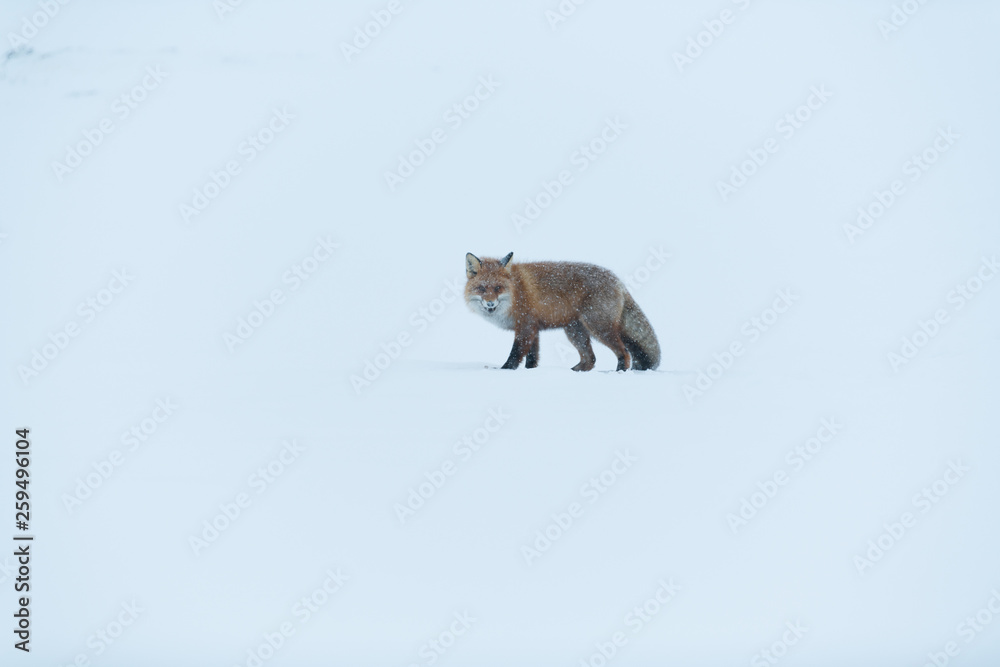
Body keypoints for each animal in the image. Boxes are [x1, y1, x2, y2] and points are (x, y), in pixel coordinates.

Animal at [464, 252, 660, 371]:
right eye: (482, 288)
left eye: (498, 288)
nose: (490, 303)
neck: (515, 293)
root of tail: (618, 281)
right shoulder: (533, 328)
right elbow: (532, 357)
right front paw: (530, 371)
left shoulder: (525, 326)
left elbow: (516, 353)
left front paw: (505, 370)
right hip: (575, 331)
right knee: (590, 359)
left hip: (598, 327)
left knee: (624, 352)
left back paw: (619, 372)